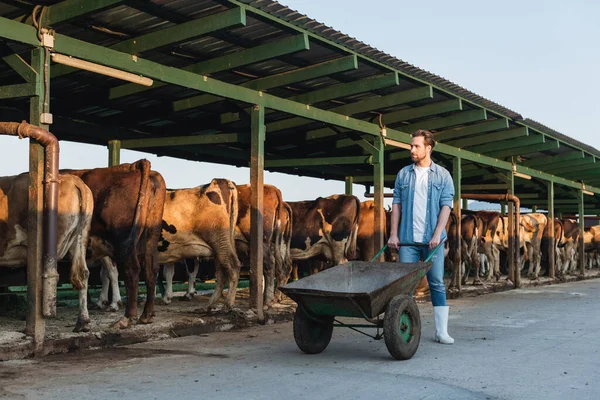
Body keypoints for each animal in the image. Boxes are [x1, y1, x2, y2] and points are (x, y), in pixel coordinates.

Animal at [67, 159, 165, 328]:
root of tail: (135, 166)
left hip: (122, 236)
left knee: (132, 269)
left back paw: (127, 317)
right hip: (151, 236)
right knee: (151, 269)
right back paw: (147, 315)